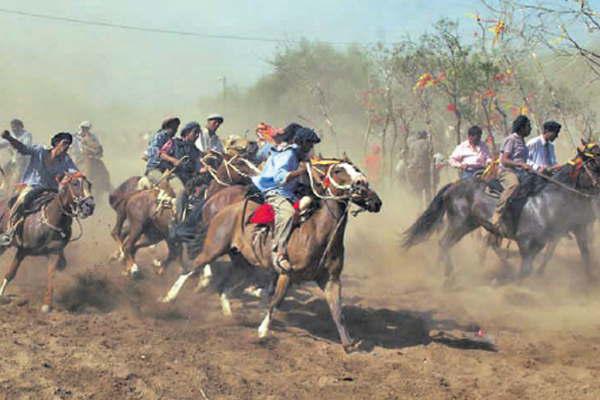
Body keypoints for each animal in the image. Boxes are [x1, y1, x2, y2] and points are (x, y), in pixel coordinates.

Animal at [0, 173, 94, 310]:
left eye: (89, 184)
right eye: (75, 183)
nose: (90, 206)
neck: (51, 218)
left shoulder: (54, 252)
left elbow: (51, 275)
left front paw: (47, 305)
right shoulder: (22, 250)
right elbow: (10, 273)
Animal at [162, 158, 382, 352]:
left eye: (357, 169)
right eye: (338, 170)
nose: (374, 200)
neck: (317, 232)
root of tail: (222, 208)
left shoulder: (331, 280)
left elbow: (338, 312)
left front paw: (348, 343)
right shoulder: (286, 274)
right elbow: (276, 300)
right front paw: (262, 331)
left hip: (242, 262)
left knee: (224, 286)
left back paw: (228, 313)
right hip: (213, 248)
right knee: (191, 268)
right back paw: (168, 298)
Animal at [400, 142, 600, 286]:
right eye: (593, 163)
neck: (545, 203)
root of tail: (454, 186)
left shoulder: (546, 240)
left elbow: (577, 256)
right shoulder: (525, 241)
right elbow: (525, 270)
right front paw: (508, 285)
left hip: (471, 224)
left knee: (450, 244)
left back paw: (441, 272)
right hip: (459, 223)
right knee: (445, 243)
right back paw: (448, 277)